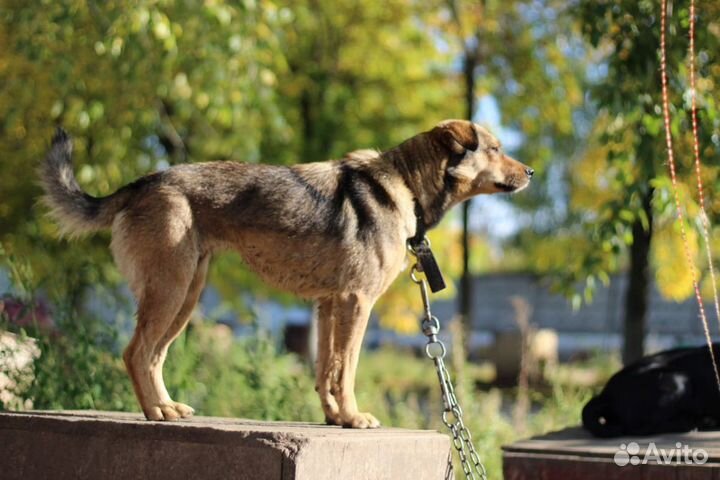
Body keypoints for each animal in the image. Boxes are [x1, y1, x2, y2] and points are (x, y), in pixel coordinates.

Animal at [40, 119, 536, 428]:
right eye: (496, 149)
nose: (531, 171)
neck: (406, 186)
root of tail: (141, 183)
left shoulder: (329, 305)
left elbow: (325, 370)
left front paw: (336, 418)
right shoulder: (356, 303)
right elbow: (347, 370)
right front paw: (354, 417)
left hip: (185, 296)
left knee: (152, 356)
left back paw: (165, 407)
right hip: (171, 290)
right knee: (134, 352)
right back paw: (155, 412)